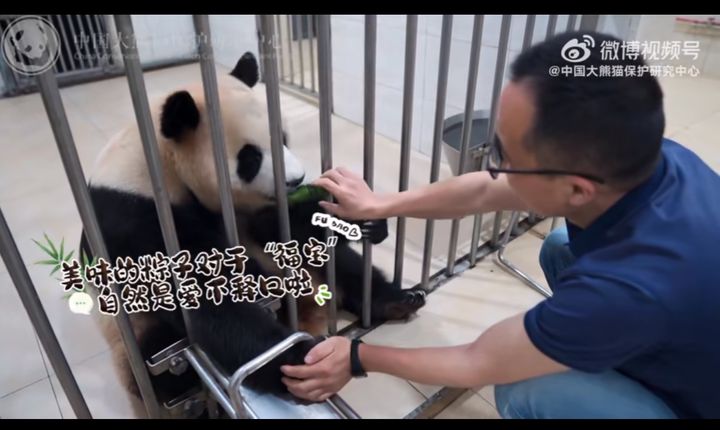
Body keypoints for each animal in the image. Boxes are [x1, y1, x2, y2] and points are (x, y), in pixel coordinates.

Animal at [81, 52, 424, 418]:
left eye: (283, 139)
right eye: (251, 157)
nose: (296, 179)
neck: (161, 160)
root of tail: (309, 312)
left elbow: (281, 228)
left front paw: (358, 213)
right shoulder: (133, 216)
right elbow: (208, 297)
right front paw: (298, 362)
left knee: (347, 265)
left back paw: (397, 299)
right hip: (130, 336)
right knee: (156, 359)